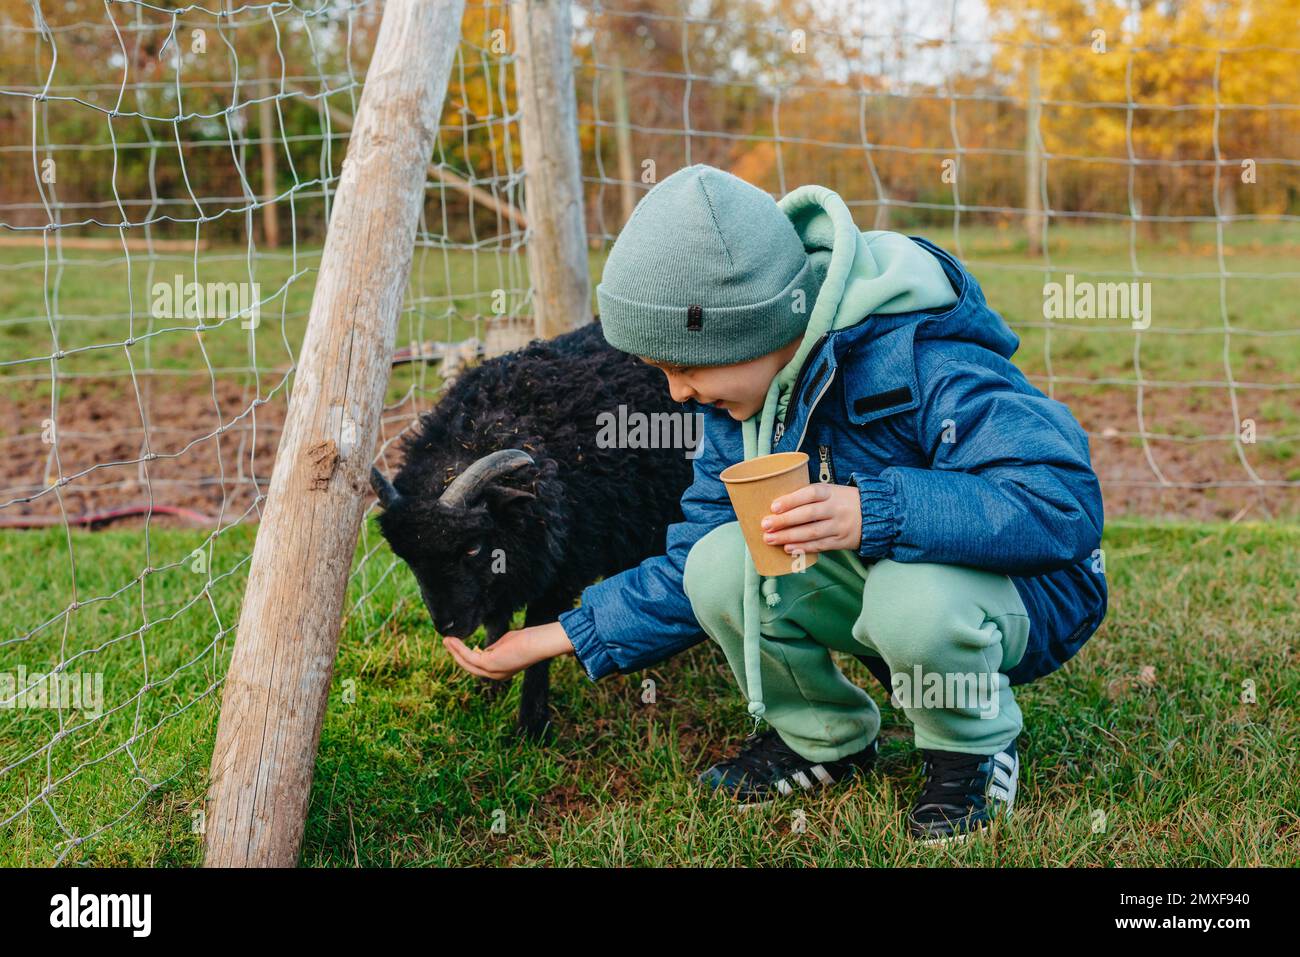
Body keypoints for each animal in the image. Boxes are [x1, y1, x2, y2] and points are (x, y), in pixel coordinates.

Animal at [371, 321, 702, 738]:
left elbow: (536, 638)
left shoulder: (562, 568)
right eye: (410, 561)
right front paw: (490, 688)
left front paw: (531, 725)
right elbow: (496, 624)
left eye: (472, 548)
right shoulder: (508, 572)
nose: (447, 628)